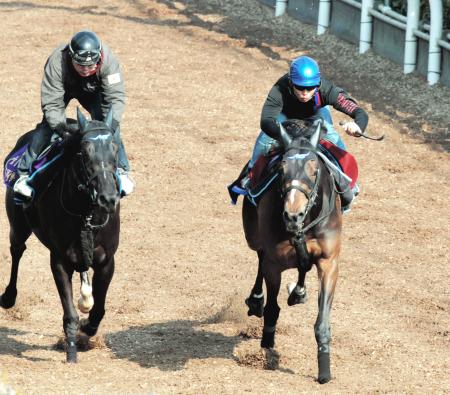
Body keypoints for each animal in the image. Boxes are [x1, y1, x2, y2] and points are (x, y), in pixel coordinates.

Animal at [0, 108, 121, 362]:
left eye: (115, 149)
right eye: (83, 152)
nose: (107, 197)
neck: (85, 213)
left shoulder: (107, 261)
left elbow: (99, 309)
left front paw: (87, 329)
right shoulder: (59, 259)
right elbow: (70, 313)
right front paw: (71, 351)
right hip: (18, 225)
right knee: (17, 251)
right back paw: (8, 297)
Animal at [244, 120, 342, 384]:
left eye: (314, 168)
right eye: (281, 169)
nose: (292, 215)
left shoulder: (329, 262)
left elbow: (322, 321)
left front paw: (324, 368)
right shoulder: (273, 262)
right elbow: (272, 308)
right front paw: (267, 347)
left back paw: (298, 292)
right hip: (252, 234)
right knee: (259, 256)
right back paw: (256, 300)